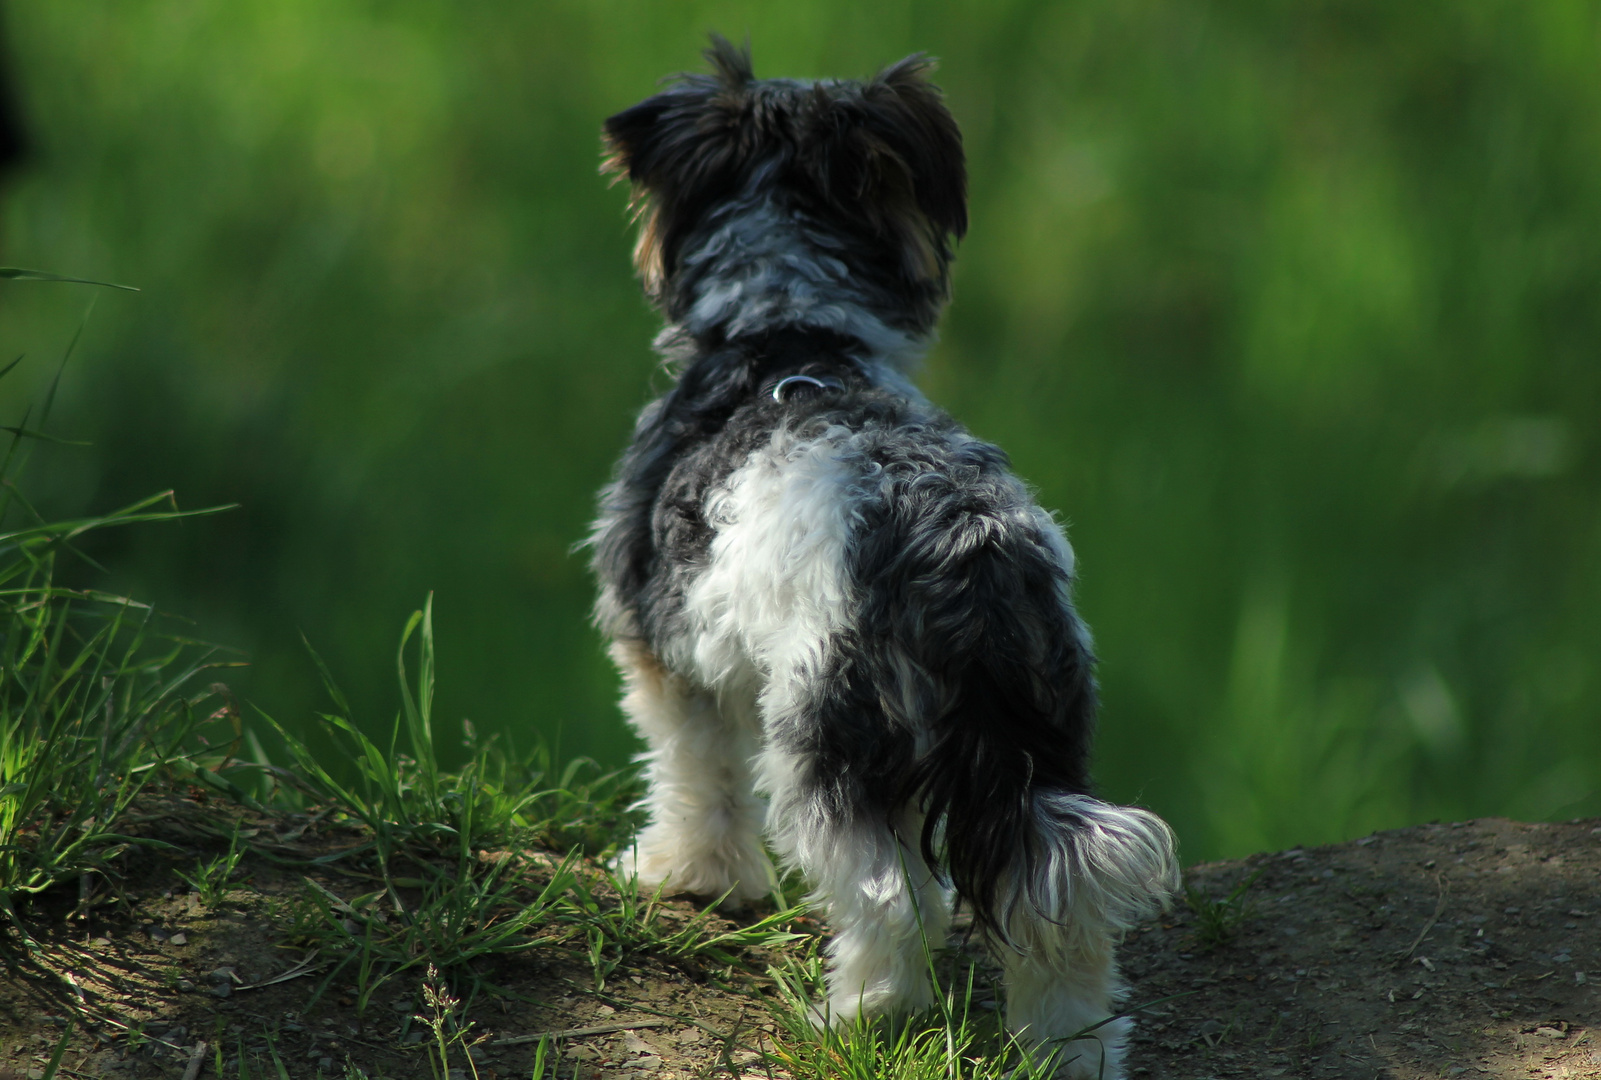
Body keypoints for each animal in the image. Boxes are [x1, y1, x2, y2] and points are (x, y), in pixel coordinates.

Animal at [589, 38, 1178, 1075]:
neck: (789, 335)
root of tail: (969, 561)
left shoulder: (666, 653)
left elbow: (694, 777)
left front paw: (688, 876)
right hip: (1048, 730)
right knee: (1057, 895)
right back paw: (1070, 1046)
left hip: (825, 732)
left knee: (891, 898)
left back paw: (859, 1020)